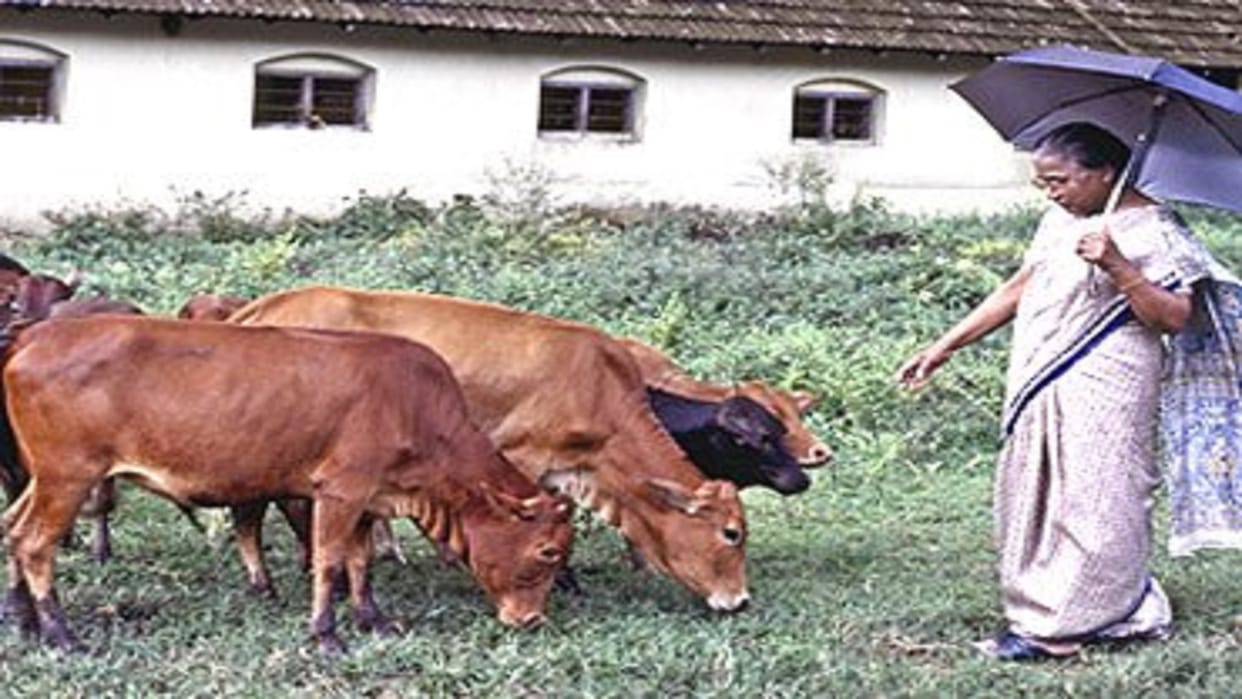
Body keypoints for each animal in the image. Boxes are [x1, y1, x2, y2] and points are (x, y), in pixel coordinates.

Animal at [1, 316, 574, 653]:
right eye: (547, 552)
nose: (530, 621)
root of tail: (35, 334)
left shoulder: (370, 497)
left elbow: (361, 561)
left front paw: (371, 618)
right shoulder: (341, 489)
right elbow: (330, 560)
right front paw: (326, 635)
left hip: (43, 476)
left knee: (11, 528)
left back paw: (22, 617)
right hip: (69, 475)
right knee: (34, 542)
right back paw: (60, 633)